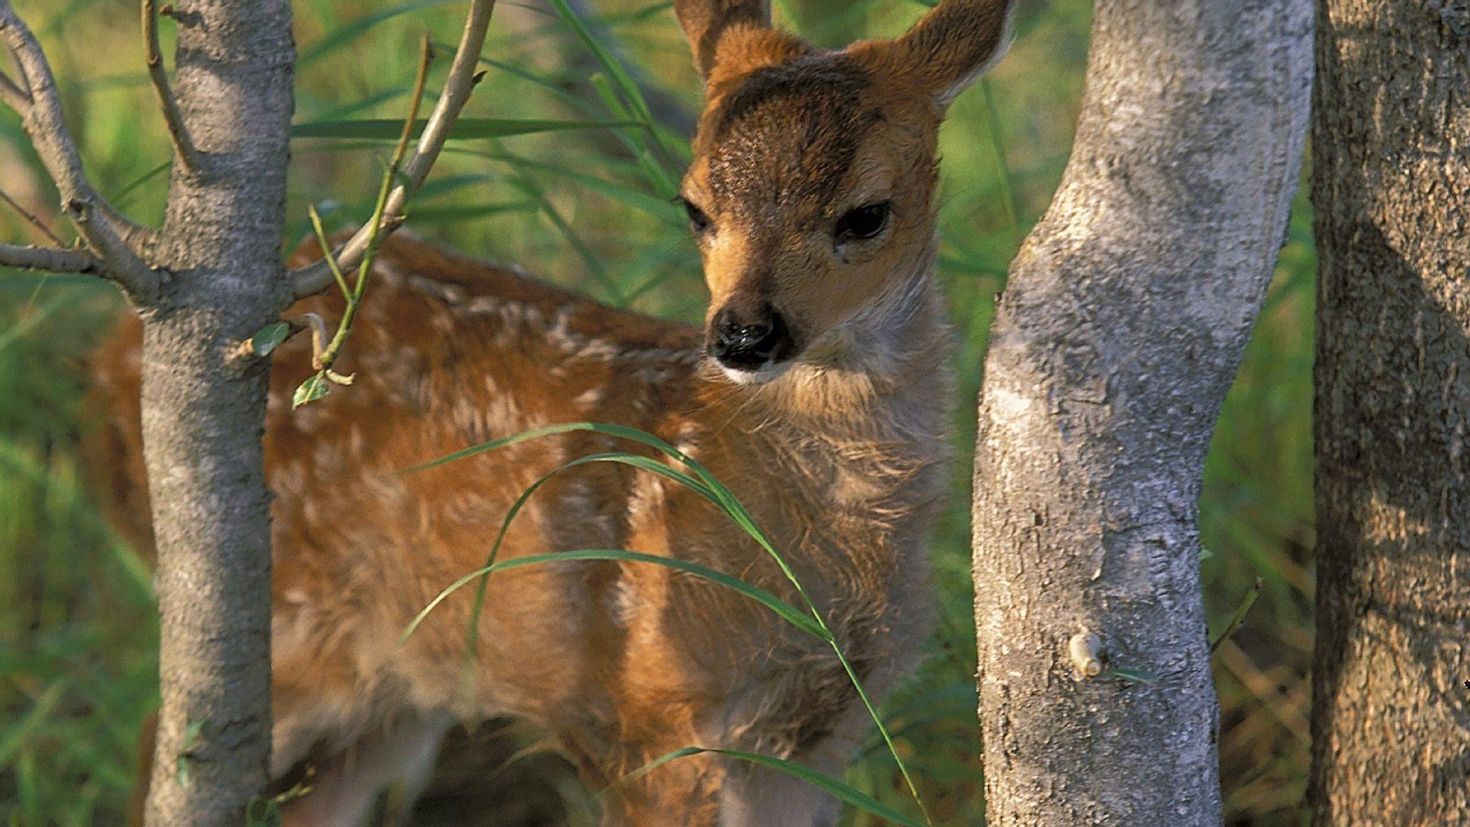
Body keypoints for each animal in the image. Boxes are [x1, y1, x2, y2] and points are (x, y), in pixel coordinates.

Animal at [88, 1, 1011, 822]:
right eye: (695, 207)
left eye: (867, 214)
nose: (744, 333)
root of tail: (111, 360)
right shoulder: (651, 717)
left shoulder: (823, 730)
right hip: (291, 631)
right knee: (168, 745)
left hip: (397, 686)